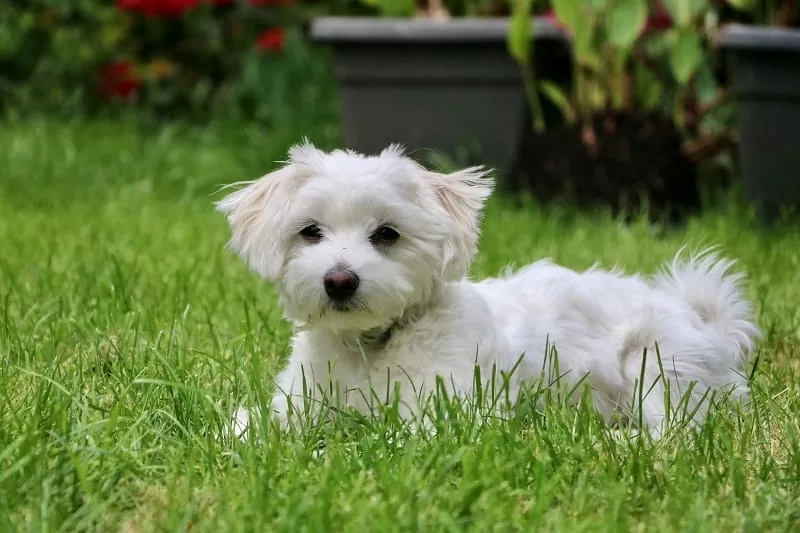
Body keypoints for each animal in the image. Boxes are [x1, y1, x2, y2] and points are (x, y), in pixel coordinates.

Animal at [217, 141, 764, 436]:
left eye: (387, 234)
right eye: (310, 231)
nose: (339, 280)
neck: (371, 347)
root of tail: (706, 323)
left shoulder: (450, 412)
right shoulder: (296, 402)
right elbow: (248, 427)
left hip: (655, 366)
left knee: (672, 432)